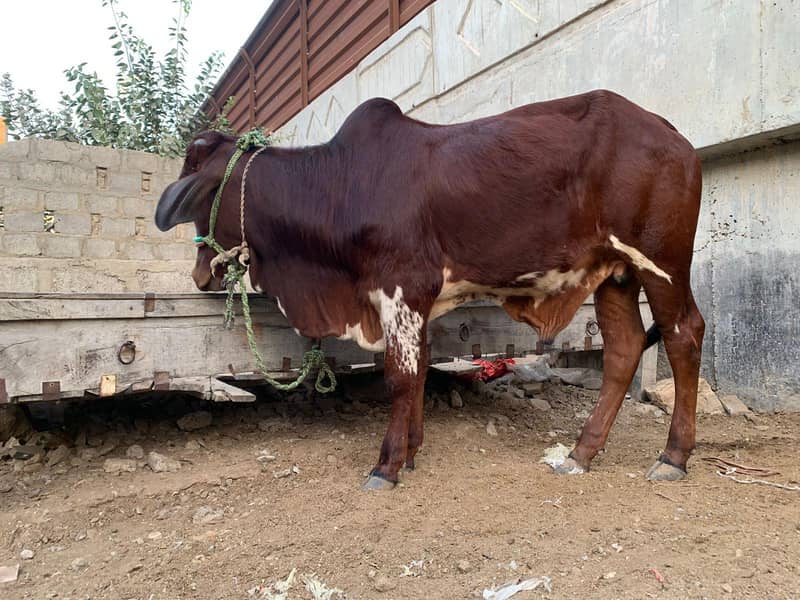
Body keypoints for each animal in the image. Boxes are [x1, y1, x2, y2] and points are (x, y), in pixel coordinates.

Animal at [155, 90, 704, 490]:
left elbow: (400, 378)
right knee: (624, 350)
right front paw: (412, 451)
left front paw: (386, 465)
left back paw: (673, 457)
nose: (199, 275)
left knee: (684, 337)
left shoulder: (400, 288)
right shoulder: (415, 302)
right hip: (615, 273)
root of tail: (672, 131)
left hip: (662, 263)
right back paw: (581, 452)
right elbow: (417, 371)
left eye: (196, 179)